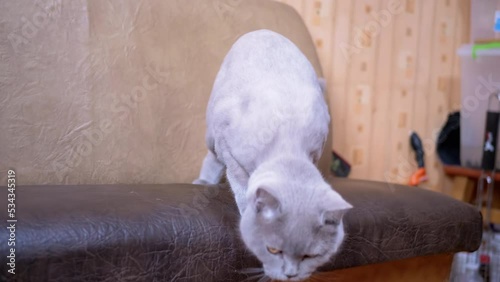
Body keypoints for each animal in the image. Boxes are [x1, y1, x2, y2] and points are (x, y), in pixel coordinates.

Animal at [193, 29, 354, 280]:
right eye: (275, 250)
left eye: (310, 256)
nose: (291, 275)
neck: (287, 144)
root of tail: (261, 31)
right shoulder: (231, 155)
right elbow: (241, 190)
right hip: (213, 132)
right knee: (212, 159)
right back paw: (203, 183)